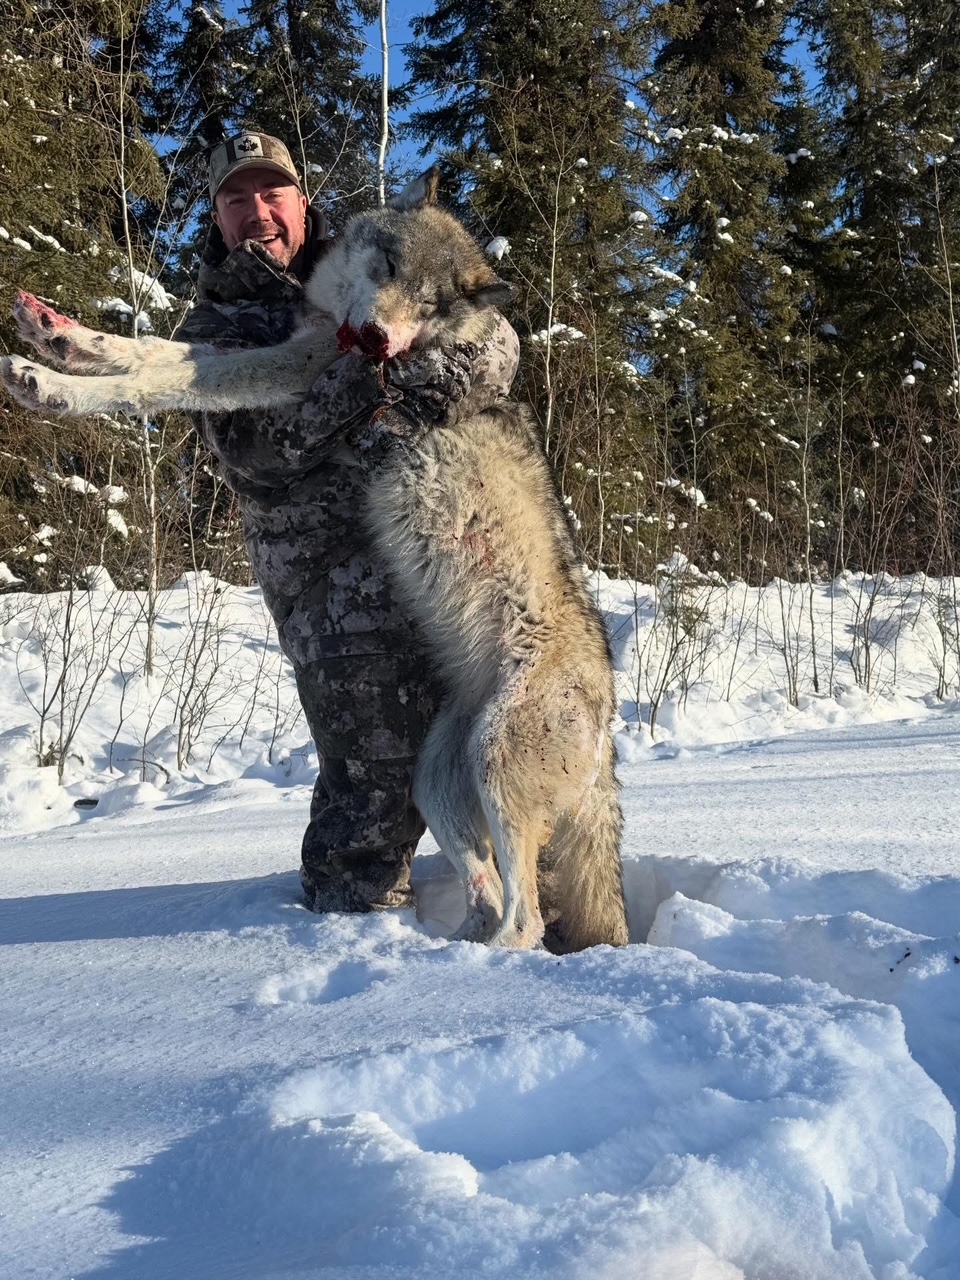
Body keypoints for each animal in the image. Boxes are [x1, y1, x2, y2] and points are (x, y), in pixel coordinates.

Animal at [1, 171, 629, 952]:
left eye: (431, 306)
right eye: (388, 268)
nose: (378, 340)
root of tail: (609, 730)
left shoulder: (302, 368)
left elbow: (156, 376)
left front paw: (49, 383)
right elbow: (147, 351)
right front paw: (50, 331)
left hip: (494, 765)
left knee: (528, 921)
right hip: (434, 781)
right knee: (487, 890)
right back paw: (445, 947)